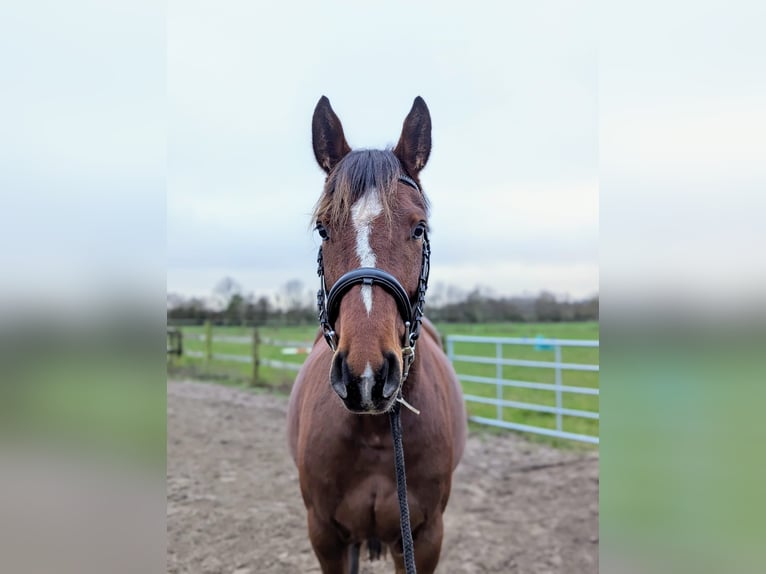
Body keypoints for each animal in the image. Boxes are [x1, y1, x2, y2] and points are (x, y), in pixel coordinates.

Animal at [288, 97, 468, 572]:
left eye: (419, 228)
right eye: (323, 228)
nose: (365, 375)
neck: (373, 434)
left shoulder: (423, 538)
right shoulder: (325, 536)